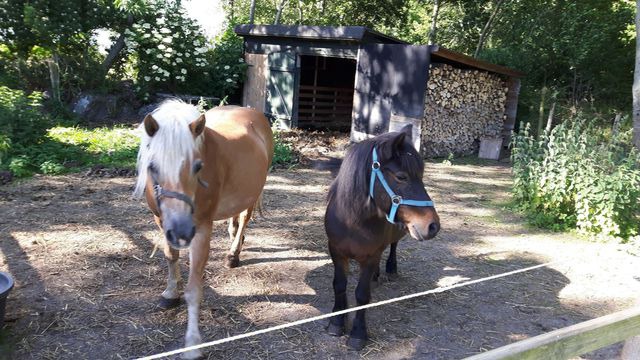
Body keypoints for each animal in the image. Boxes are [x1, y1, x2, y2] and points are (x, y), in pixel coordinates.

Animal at [134, 100, 274, 358]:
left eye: (198, 166)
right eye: (152, 166)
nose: (181, 230)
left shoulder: (201, 230)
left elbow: (194, 290)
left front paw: (192, 345)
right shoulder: (161, 222)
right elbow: (170, 257)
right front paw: (170, 293)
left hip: (253, 194)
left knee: (244, 219)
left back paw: (233, 255)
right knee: (235, 220)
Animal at [324, 125, 440, 350]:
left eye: (421, 176)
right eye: (402, 177)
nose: (433, 226)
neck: (353, 222)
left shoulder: (370, 256)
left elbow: (362, 294)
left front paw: (358, 334)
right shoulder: (337, 252)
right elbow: (339, 285)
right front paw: (336, 322)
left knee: (392, 246)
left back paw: (390, 269)